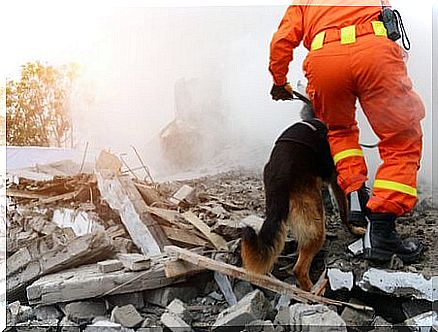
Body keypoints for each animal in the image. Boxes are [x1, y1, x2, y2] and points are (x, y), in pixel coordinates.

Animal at [241, 106, 364, 290]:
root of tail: (278, 180)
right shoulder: (336, 179)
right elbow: (345, 210)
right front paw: (353, 229)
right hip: (315, 223)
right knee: (299, 268)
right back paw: (313, 292)